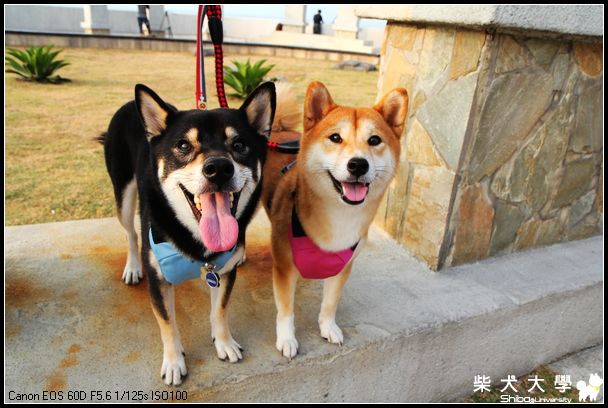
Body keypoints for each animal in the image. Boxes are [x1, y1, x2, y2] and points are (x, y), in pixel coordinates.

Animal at [100, 82, 276, 385]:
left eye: (239, 145)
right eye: (183, 145)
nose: (219, 168)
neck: (199, 244)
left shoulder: (223, 273)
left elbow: (220, 310)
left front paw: (224, 343)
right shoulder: (158, 279)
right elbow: (168, 324)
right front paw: (173, 362)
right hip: (123, 194)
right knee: (131, 234)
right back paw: (132, 267)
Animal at [262, 81, 408, 358]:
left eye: (374, 140)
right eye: (336, 138)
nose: (358, 164)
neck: (339, 218)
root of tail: (279, 131)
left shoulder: (343, 267)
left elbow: (330, 304)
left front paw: (328, 328)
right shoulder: (284, 268)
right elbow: (286, 311)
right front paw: (287, 339)